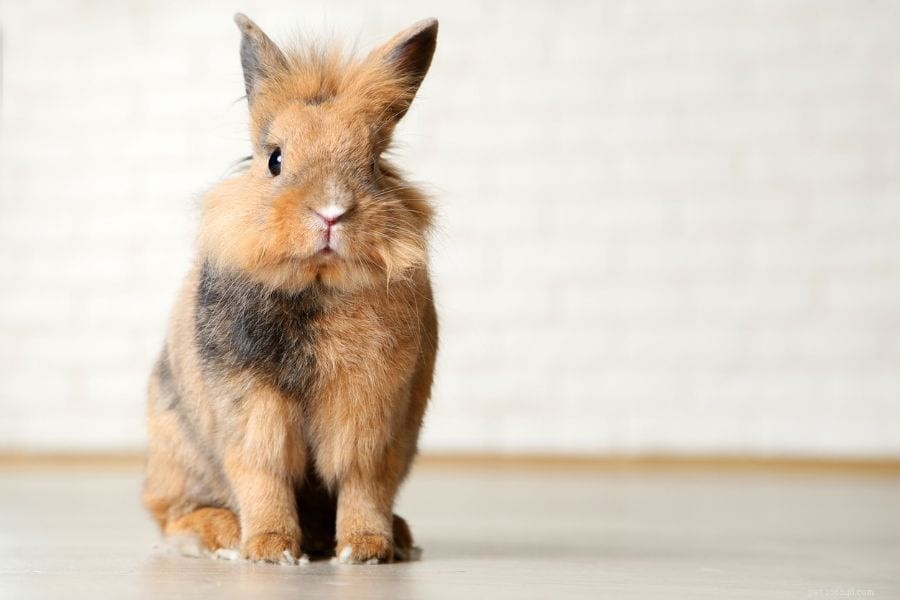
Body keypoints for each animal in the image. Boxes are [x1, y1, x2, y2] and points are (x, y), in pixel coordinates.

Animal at [142, 13, 439, 565]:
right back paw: (221, 535)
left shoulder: (371, 415)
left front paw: (365, 550)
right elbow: (264, 476)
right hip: (177, 451)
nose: (331, 212)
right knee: (174, 514)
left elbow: (364, 482)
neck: (317, 285)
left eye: (374, 162)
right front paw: (270, 550)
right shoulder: (253, 413)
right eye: (275, 159)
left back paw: (395, 537)